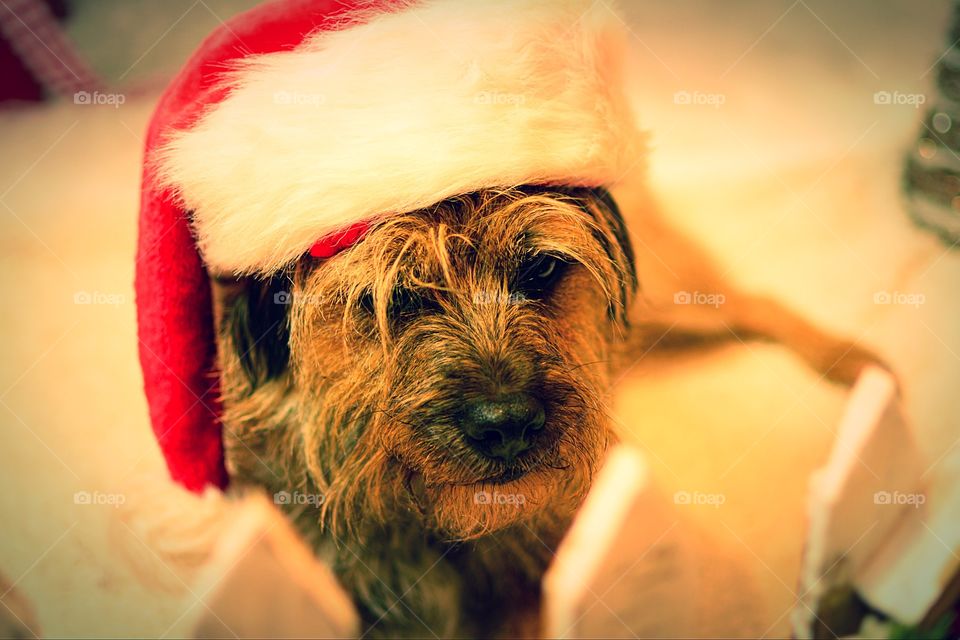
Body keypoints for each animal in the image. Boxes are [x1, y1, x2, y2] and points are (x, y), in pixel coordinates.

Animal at [208, 182, 876, 636]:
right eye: (396, 297)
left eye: (542, 268)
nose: (507, 425)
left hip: (669, 298)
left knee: (754, 301)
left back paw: (855, 362)